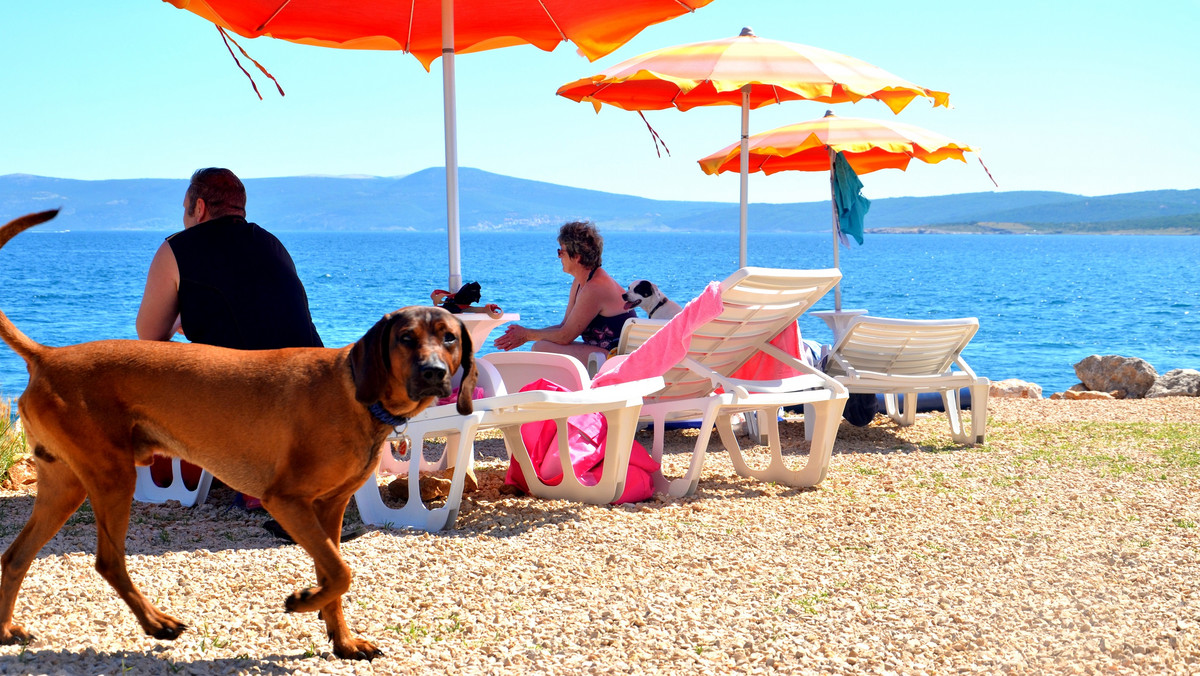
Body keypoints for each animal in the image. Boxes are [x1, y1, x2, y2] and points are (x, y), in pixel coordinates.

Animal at [0, 210, 477, 662]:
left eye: (450, 338)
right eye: (406, 338)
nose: (434, 373)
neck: (355, 393)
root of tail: (48, 356)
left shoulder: (329, 509)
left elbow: (334, 572)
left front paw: (342, 639)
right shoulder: (286, 500)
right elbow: (341, 572)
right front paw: (303, 601)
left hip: (65, 486)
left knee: (15, 555)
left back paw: (7, 630)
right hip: (112, 477)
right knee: (108, 560)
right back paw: (157, 623)